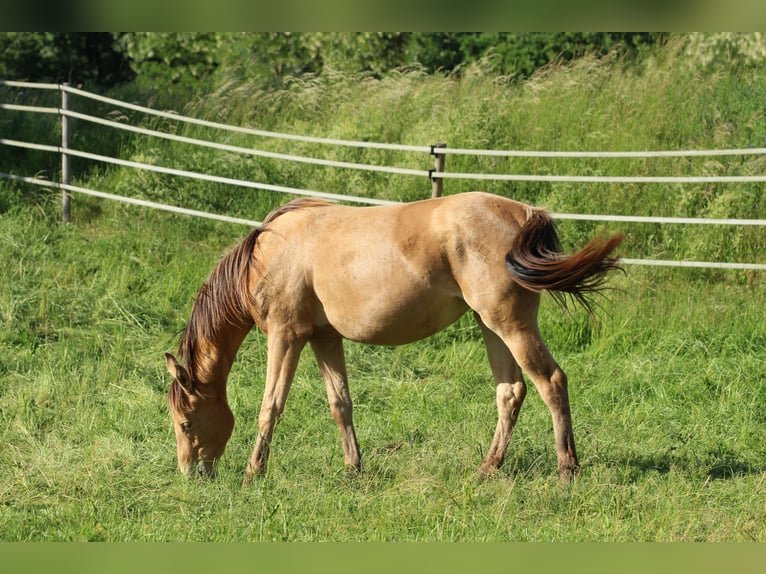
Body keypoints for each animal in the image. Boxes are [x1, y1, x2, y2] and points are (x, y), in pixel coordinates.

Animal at [164, 191, 623, 483]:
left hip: (510, 325)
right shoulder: (324, 337)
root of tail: (525, 213)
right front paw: (354, 468)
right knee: (510, 392)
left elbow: (270, 406)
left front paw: (252, 473)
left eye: (186, 422)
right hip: (491, 326)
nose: (191, 474)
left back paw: (567, 470)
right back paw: (487, 469)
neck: (269, 253)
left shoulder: (286, 334)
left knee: (551, 382)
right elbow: (340, 404)